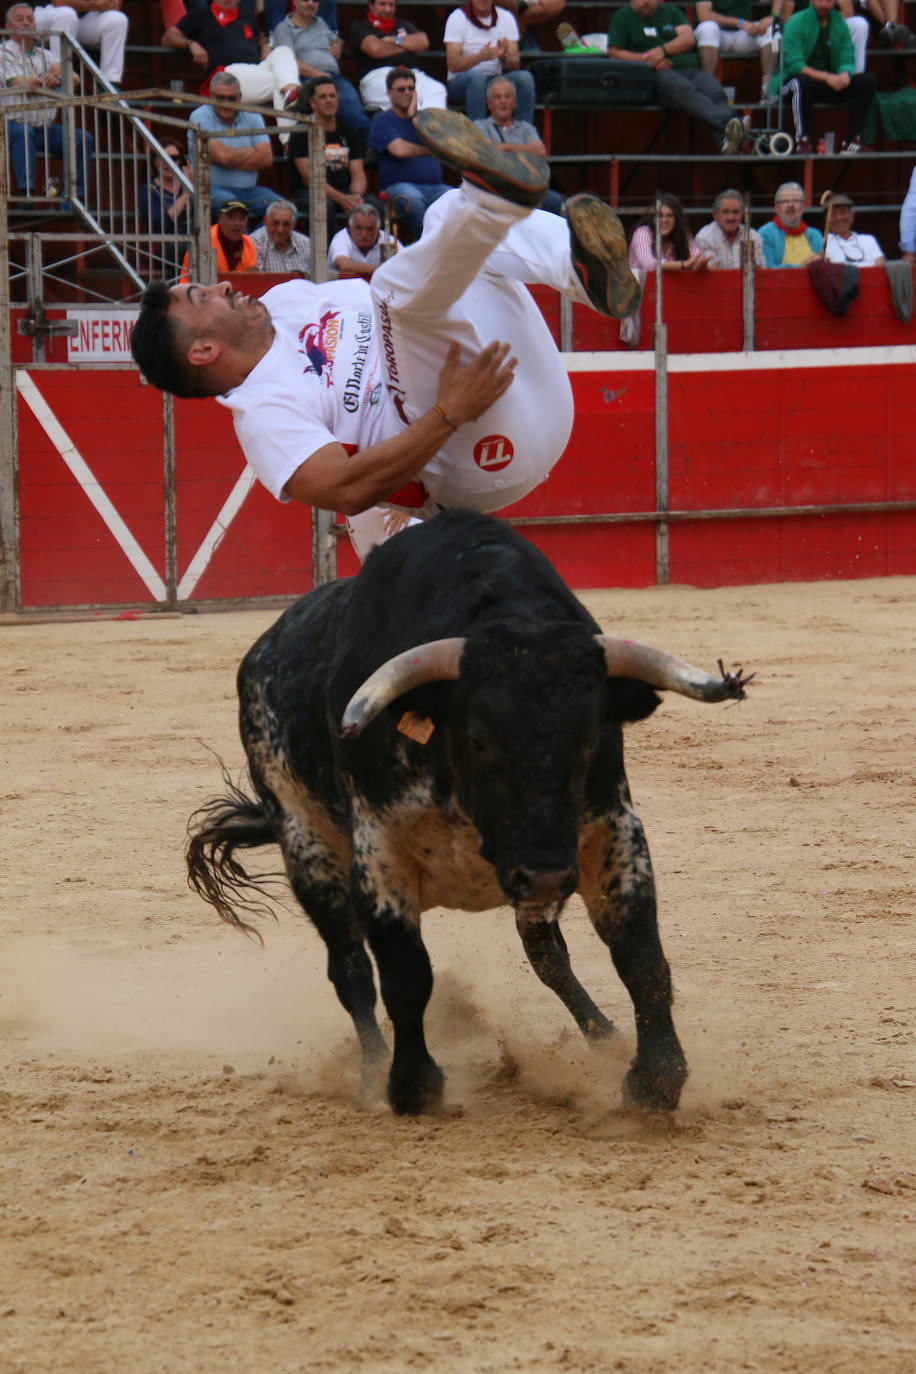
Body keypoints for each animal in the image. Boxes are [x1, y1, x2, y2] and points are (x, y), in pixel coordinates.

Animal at [188, 505, 752, 1115]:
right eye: (479, 740)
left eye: (589, 737)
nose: (545, 874)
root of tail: (264, 648)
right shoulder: (379, 848)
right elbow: (405, 974)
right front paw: (412, 1087)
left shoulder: (611, 829)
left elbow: (640, 955)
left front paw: (655, 1079)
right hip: (307, 845)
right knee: (350, 968)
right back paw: (371, 1071)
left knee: (547, 956)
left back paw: (603, 1037)